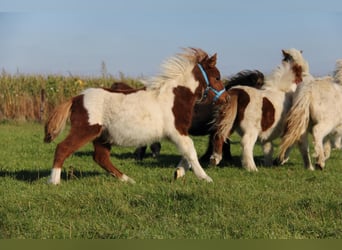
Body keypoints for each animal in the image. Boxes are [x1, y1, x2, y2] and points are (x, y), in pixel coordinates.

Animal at [44, 48, 228, 184]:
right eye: (217, 77)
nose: (226, 99)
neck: (175, 95)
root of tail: (76, 98)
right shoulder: (177, 131)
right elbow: (190, 151)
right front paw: (205, 177)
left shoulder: (178, 133)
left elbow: (186, 153)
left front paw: (179, 173)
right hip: (86, 130)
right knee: (63, 148)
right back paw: (54, 181)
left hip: (102, 136)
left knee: (101, 157)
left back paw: (127, 179)